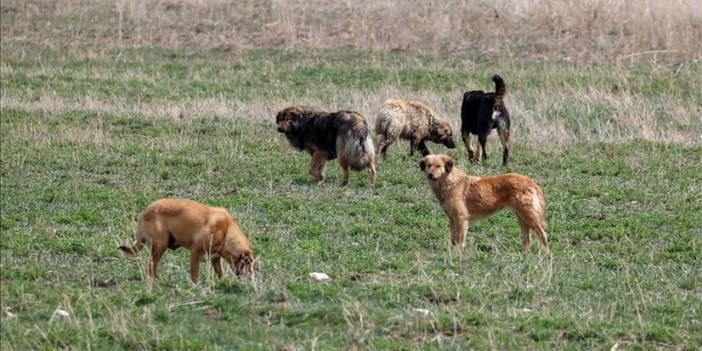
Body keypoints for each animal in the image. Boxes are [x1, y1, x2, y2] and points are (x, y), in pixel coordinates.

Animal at [119, 199, 258, 288]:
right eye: (249, 266)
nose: (252, 282)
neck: (227, 231)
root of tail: (144, 212)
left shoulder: (215, 257)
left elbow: (220, 273)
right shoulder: (196, 252)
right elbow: (194, 274)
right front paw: (198, 287)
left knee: (151, 268)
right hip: (161, 245)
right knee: (150, 268)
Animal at [418, 154, 552, 250]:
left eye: (438, 166)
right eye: (428, 165)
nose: (430, 175)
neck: (449, 182)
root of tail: (531, 182)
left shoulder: (461, 219)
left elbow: (459, 239)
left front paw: (458, 253)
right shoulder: (452, 219)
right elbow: (453, 239)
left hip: (529, 216)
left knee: (542, 233)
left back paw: (545, 252)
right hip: (522, 217)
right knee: (528, 238)